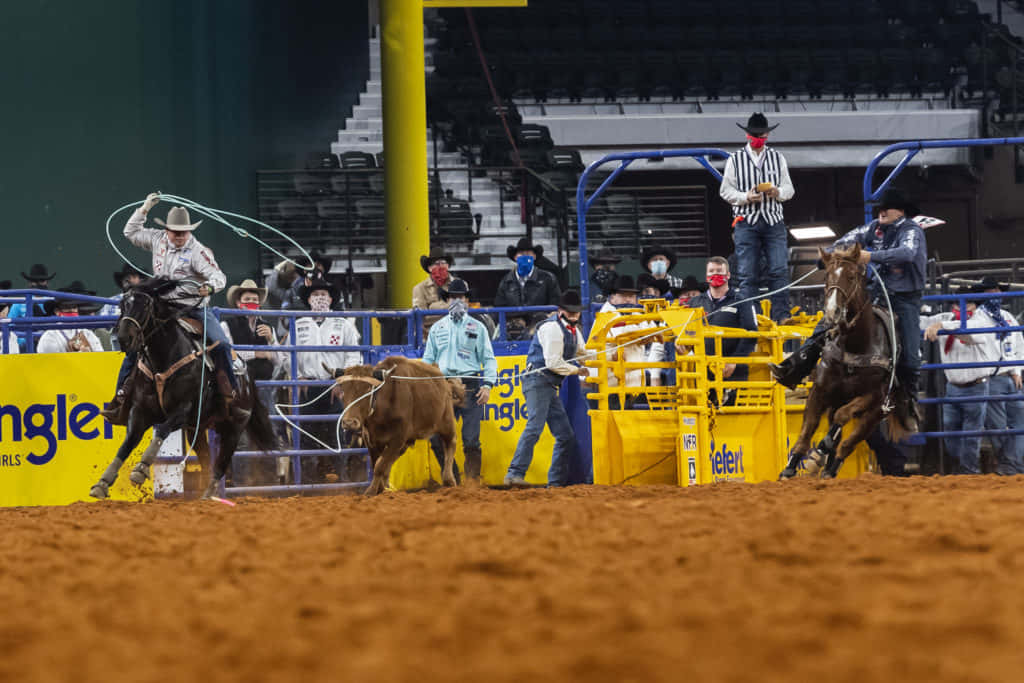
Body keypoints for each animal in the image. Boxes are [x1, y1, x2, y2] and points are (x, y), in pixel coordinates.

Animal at [88, 278, 278, 501]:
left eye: (145, 306)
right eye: (122, 305)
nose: (125, 338)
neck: (164, 358)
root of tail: (248, 380)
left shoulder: (183, 410)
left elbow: (162, 429)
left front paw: (140, 469)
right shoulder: (141, 409)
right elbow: (129, 441)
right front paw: (102, 482)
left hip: (234, 428)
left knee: (220, 465)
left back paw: (209, 494)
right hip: (197, 429)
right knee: (206, 461)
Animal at [778, 246, 917, 481]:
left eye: (851, 276)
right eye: (826, 277)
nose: (832, 311)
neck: (855, 346)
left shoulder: (873, 397)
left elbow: (842, 418)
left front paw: (819, 451)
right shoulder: (819, 391)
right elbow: (808, 429)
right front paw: (790, 467)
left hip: (877, 413)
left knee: (847, 443)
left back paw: (827, 464)